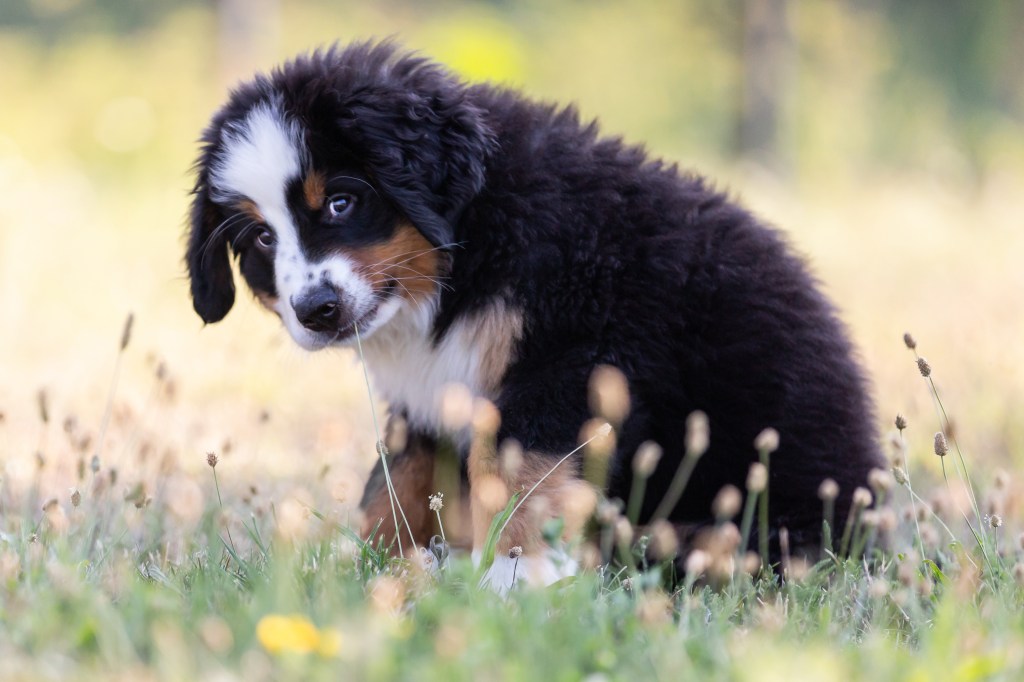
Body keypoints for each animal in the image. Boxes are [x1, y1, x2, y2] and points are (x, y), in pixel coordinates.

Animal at [186, 41, 888, 585]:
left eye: (339, 202)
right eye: (262, 239)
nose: (316, 311)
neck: (469, 252)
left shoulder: (572, 356)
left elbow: (518, 469)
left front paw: (512, 574)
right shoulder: (431, 397)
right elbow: (397, 482)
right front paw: (361, 567)